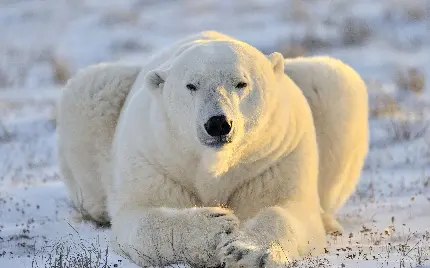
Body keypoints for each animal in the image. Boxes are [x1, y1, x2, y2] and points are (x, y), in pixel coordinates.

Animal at [56, 30, 366, 266]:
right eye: (191, 85)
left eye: (241, 83)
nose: (218, 124)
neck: (215, 163)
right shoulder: (154, 155)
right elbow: (140, 216)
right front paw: (218, 226)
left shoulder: (276, 155)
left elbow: (287, 208)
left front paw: (247, 251)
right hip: (97, 99)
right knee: (91, 87)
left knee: (335, 81)